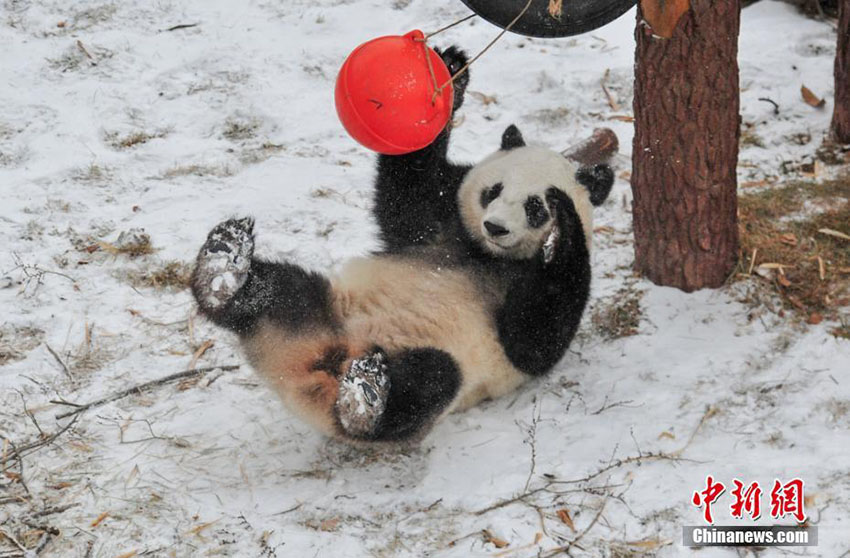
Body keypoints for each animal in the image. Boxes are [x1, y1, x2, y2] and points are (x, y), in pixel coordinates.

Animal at [190, 47, 612, 446]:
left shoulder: (521, 290)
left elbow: (534, 341)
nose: (495, 226)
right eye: (494, 191)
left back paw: (367, 400)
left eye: (534, 207)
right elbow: (407, 193)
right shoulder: (443, 218)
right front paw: (449, 74)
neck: (484, 254)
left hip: (436, 366)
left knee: (430, 382)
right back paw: (223, 271)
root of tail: (309, 369)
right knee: (277, 290)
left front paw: (562, 232)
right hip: (320, 306)